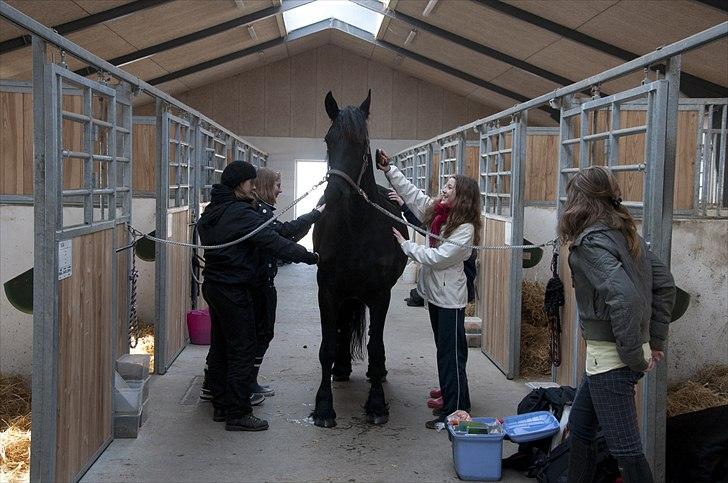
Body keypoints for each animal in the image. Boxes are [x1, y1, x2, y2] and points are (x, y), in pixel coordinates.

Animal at [308, 91, 410, 428]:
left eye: (362, 143)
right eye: (328, 140)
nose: (334, 195)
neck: (356, 225)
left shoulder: (380, 295)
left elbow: (374, 346)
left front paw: (377, 405)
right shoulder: (327, 291)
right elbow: (326, 347)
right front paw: (324, 407)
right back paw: (341, 369)